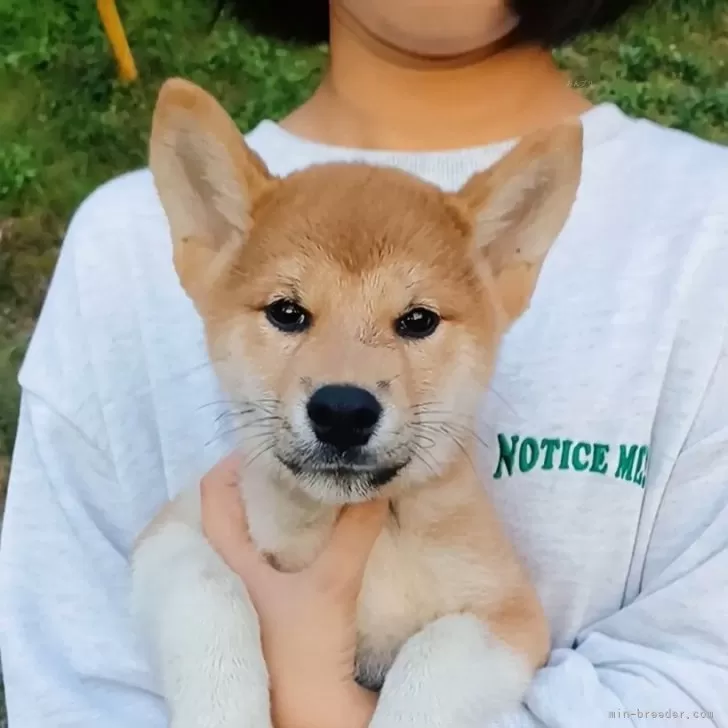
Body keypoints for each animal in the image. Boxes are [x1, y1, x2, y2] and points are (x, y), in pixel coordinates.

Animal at [131, 78, 584, 728]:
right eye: (287, 312)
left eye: (418, 320)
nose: (343, 411)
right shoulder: (169, 533)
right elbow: (208, 590)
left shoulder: (508, 614)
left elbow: (429, 666)